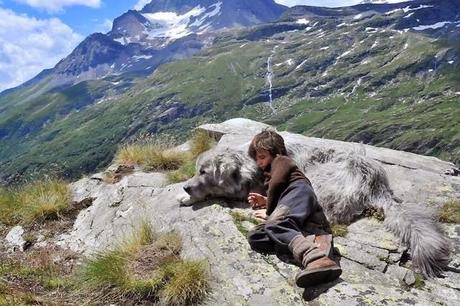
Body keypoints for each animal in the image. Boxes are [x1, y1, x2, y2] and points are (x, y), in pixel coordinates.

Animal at [178, 144, 452, 278]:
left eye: (203, 171)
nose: (186, 186)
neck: (246, 165)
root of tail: (377, 181)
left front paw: (187, 196)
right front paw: (185, 195)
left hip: (317, 180)